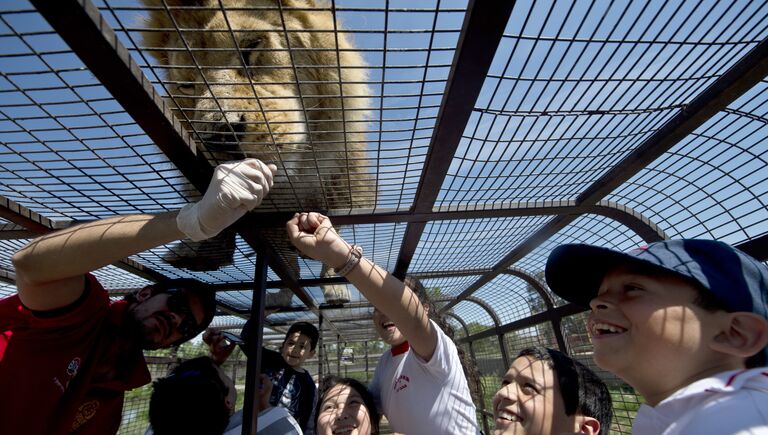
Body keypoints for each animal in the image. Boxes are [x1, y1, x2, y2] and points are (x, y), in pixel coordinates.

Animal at [142, 0, 376, 306]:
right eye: (187, 85)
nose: (219, 138)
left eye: (251, 45)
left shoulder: (342, 188)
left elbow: (332, 232)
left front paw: (334, 282)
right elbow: (285, 263)